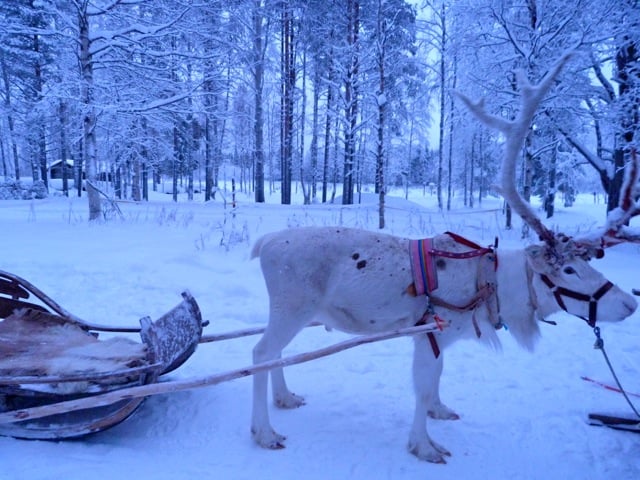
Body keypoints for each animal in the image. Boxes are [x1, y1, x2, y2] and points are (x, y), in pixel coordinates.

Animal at [249, 54, 639, 464]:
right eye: (568, 269)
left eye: (589, 263)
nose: (629, 304)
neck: (493, 286)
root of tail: (265, 242)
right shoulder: (429, 335)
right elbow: (421, 391)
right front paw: (424, 445)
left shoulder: (442, 338)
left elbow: (436, 381)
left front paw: (440, 410)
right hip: (292, 307)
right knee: (261, 351)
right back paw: (264, 431)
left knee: (276, 353)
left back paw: (285, 397)